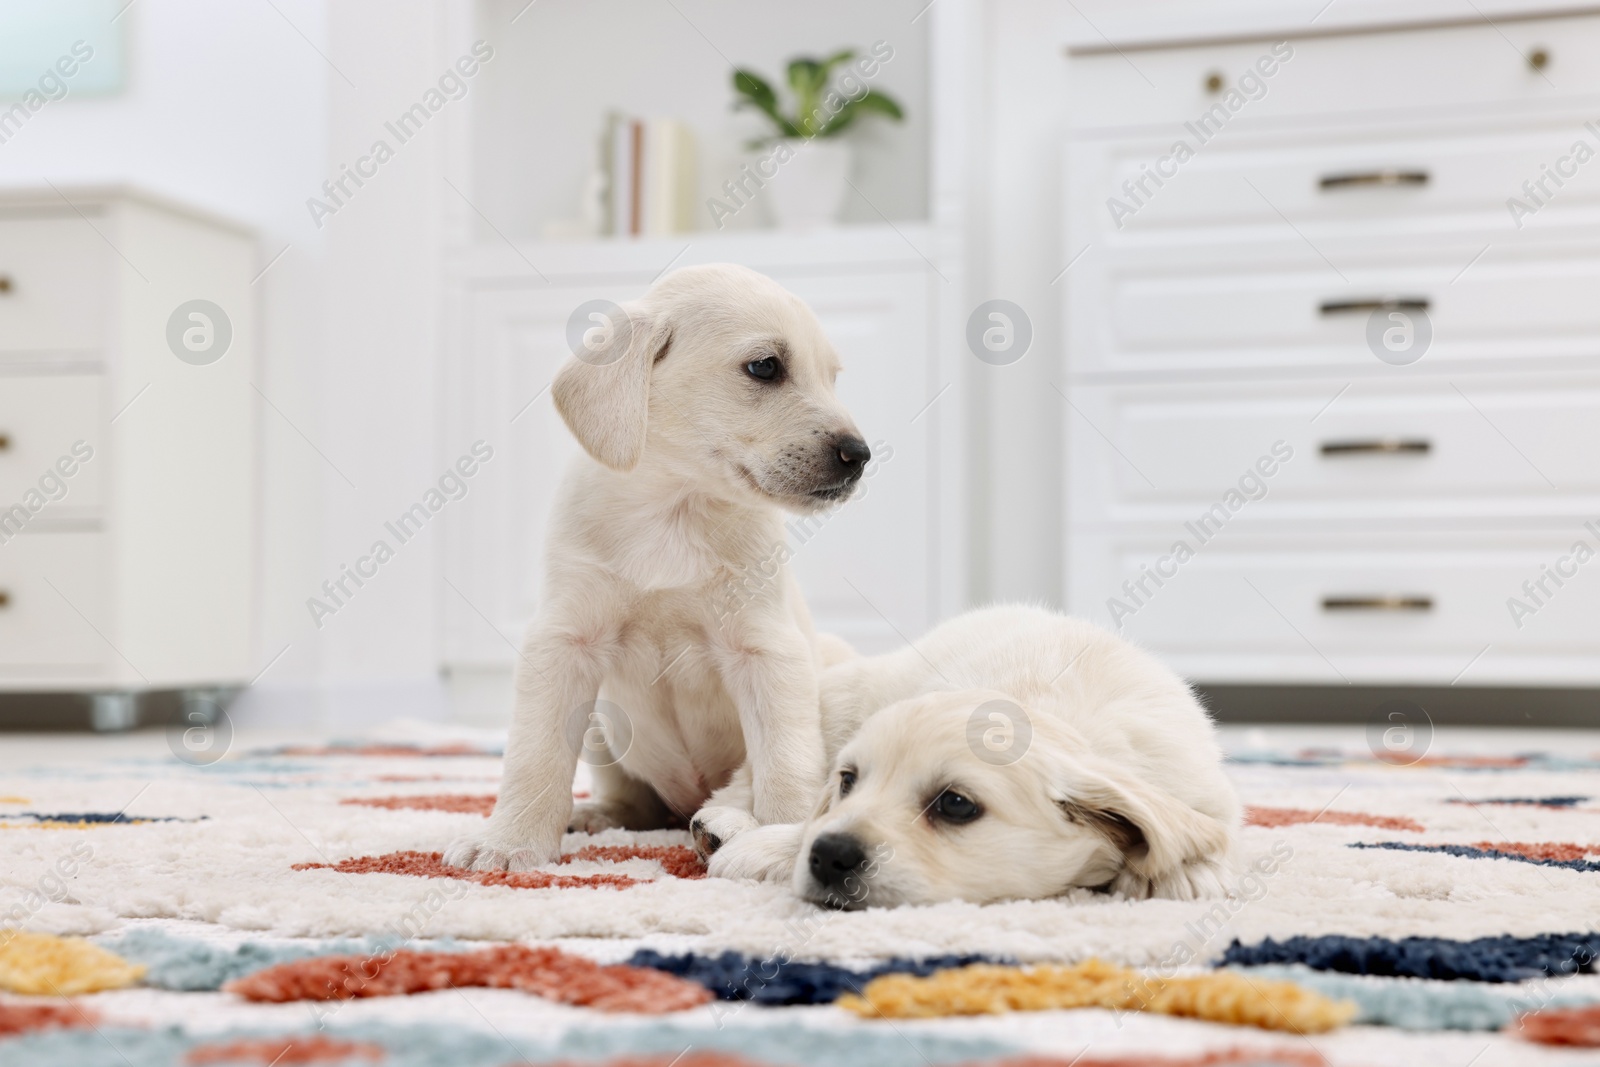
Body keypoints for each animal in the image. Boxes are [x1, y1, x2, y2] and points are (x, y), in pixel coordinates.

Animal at [444, 262, 870, 870]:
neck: (675, 508)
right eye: (765, 367)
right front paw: (509, 842)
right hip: (601, 727)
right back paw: (600, 816)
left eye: (832, 377)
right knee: (635, 802)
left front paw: (783, 836)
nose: (859, 456)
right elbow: (535, 755)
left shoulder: (768, 652)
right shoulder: (565, 640)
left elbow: (786, 762)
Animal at [707, 604, 1241, 908]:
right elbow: (810, 816)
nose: (830, 855)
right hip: (832, 698)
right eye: (847, 781)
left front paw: (1186, 871)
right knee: (752, 777)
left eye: (955, 805)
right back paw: (721, 824)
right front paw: (766, 848)